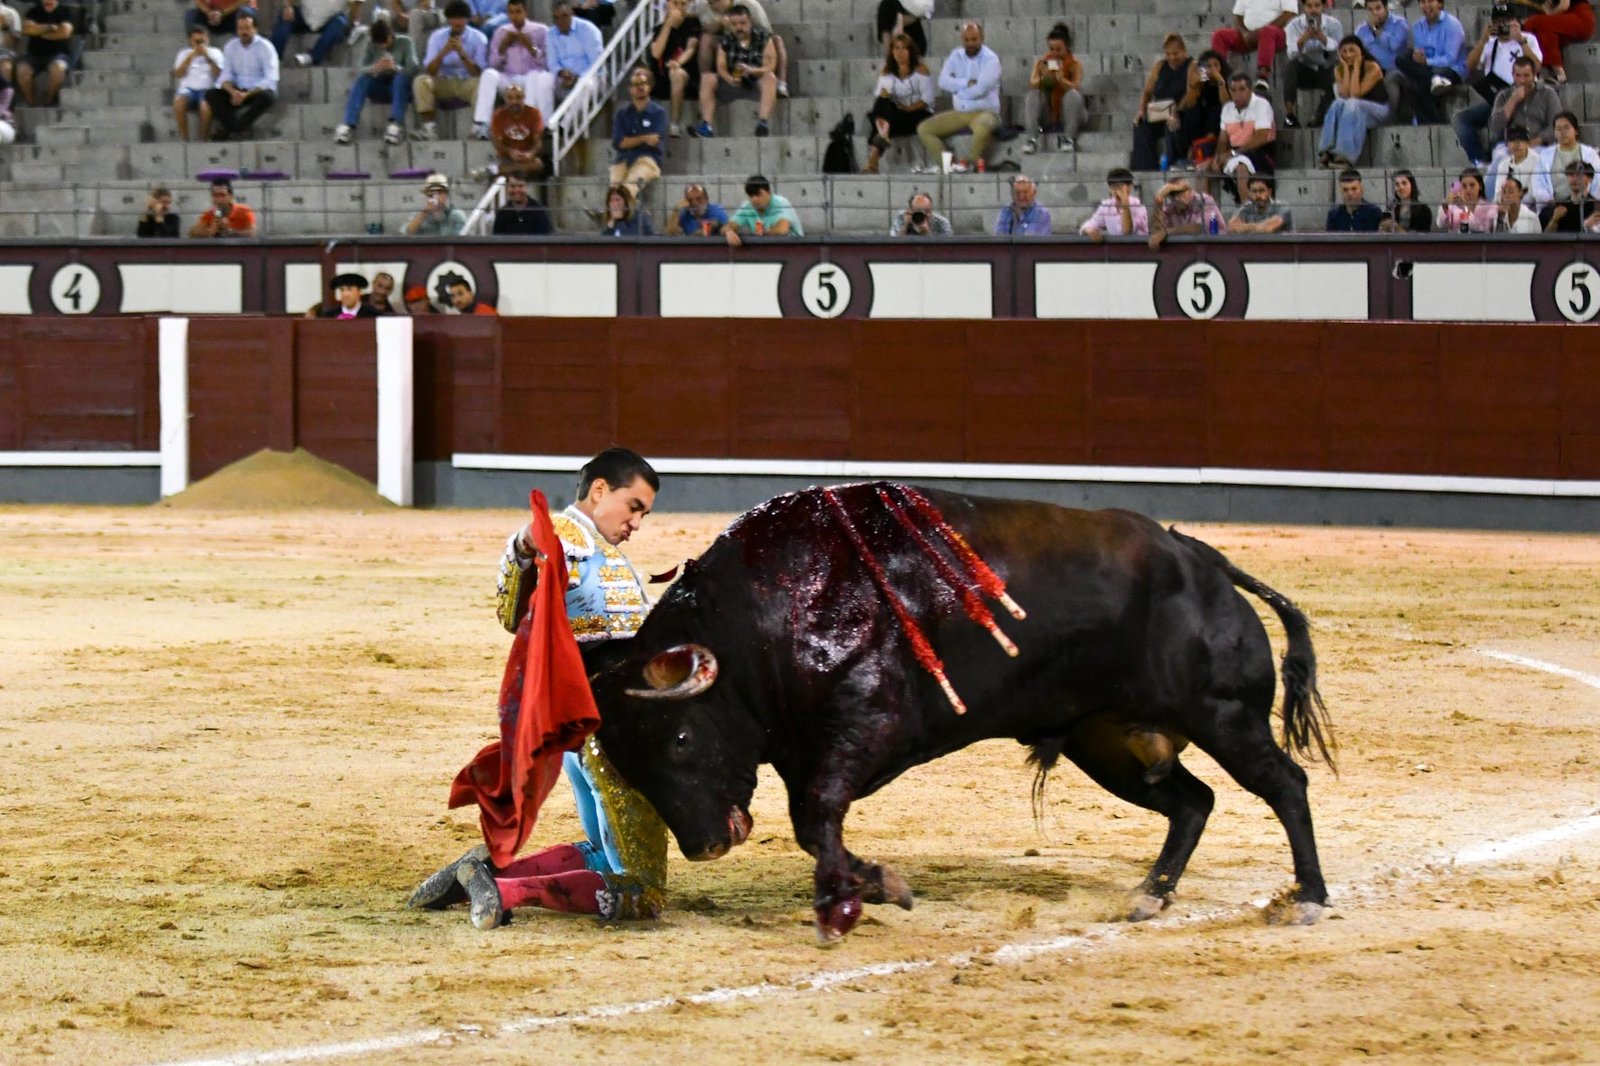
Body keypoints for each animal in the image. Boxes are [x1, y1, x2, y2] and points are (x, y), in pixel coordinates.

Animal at [587, 482, 1335, 943]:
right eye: (625, 764)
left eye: (681, 739)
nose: (704, 846)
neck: (770, 615)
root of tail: (1200, 557)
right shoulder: (810, 750)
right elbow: (811, 822)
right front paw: (877, 883)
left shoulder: (866, 725)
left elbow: (816, 813)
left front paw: (851, 901)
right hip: (1109, 743)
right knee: (1192, 802)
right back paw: (1149, 895)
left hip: (1224, 717)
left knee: (1284, 784)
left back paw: (1308, 898)